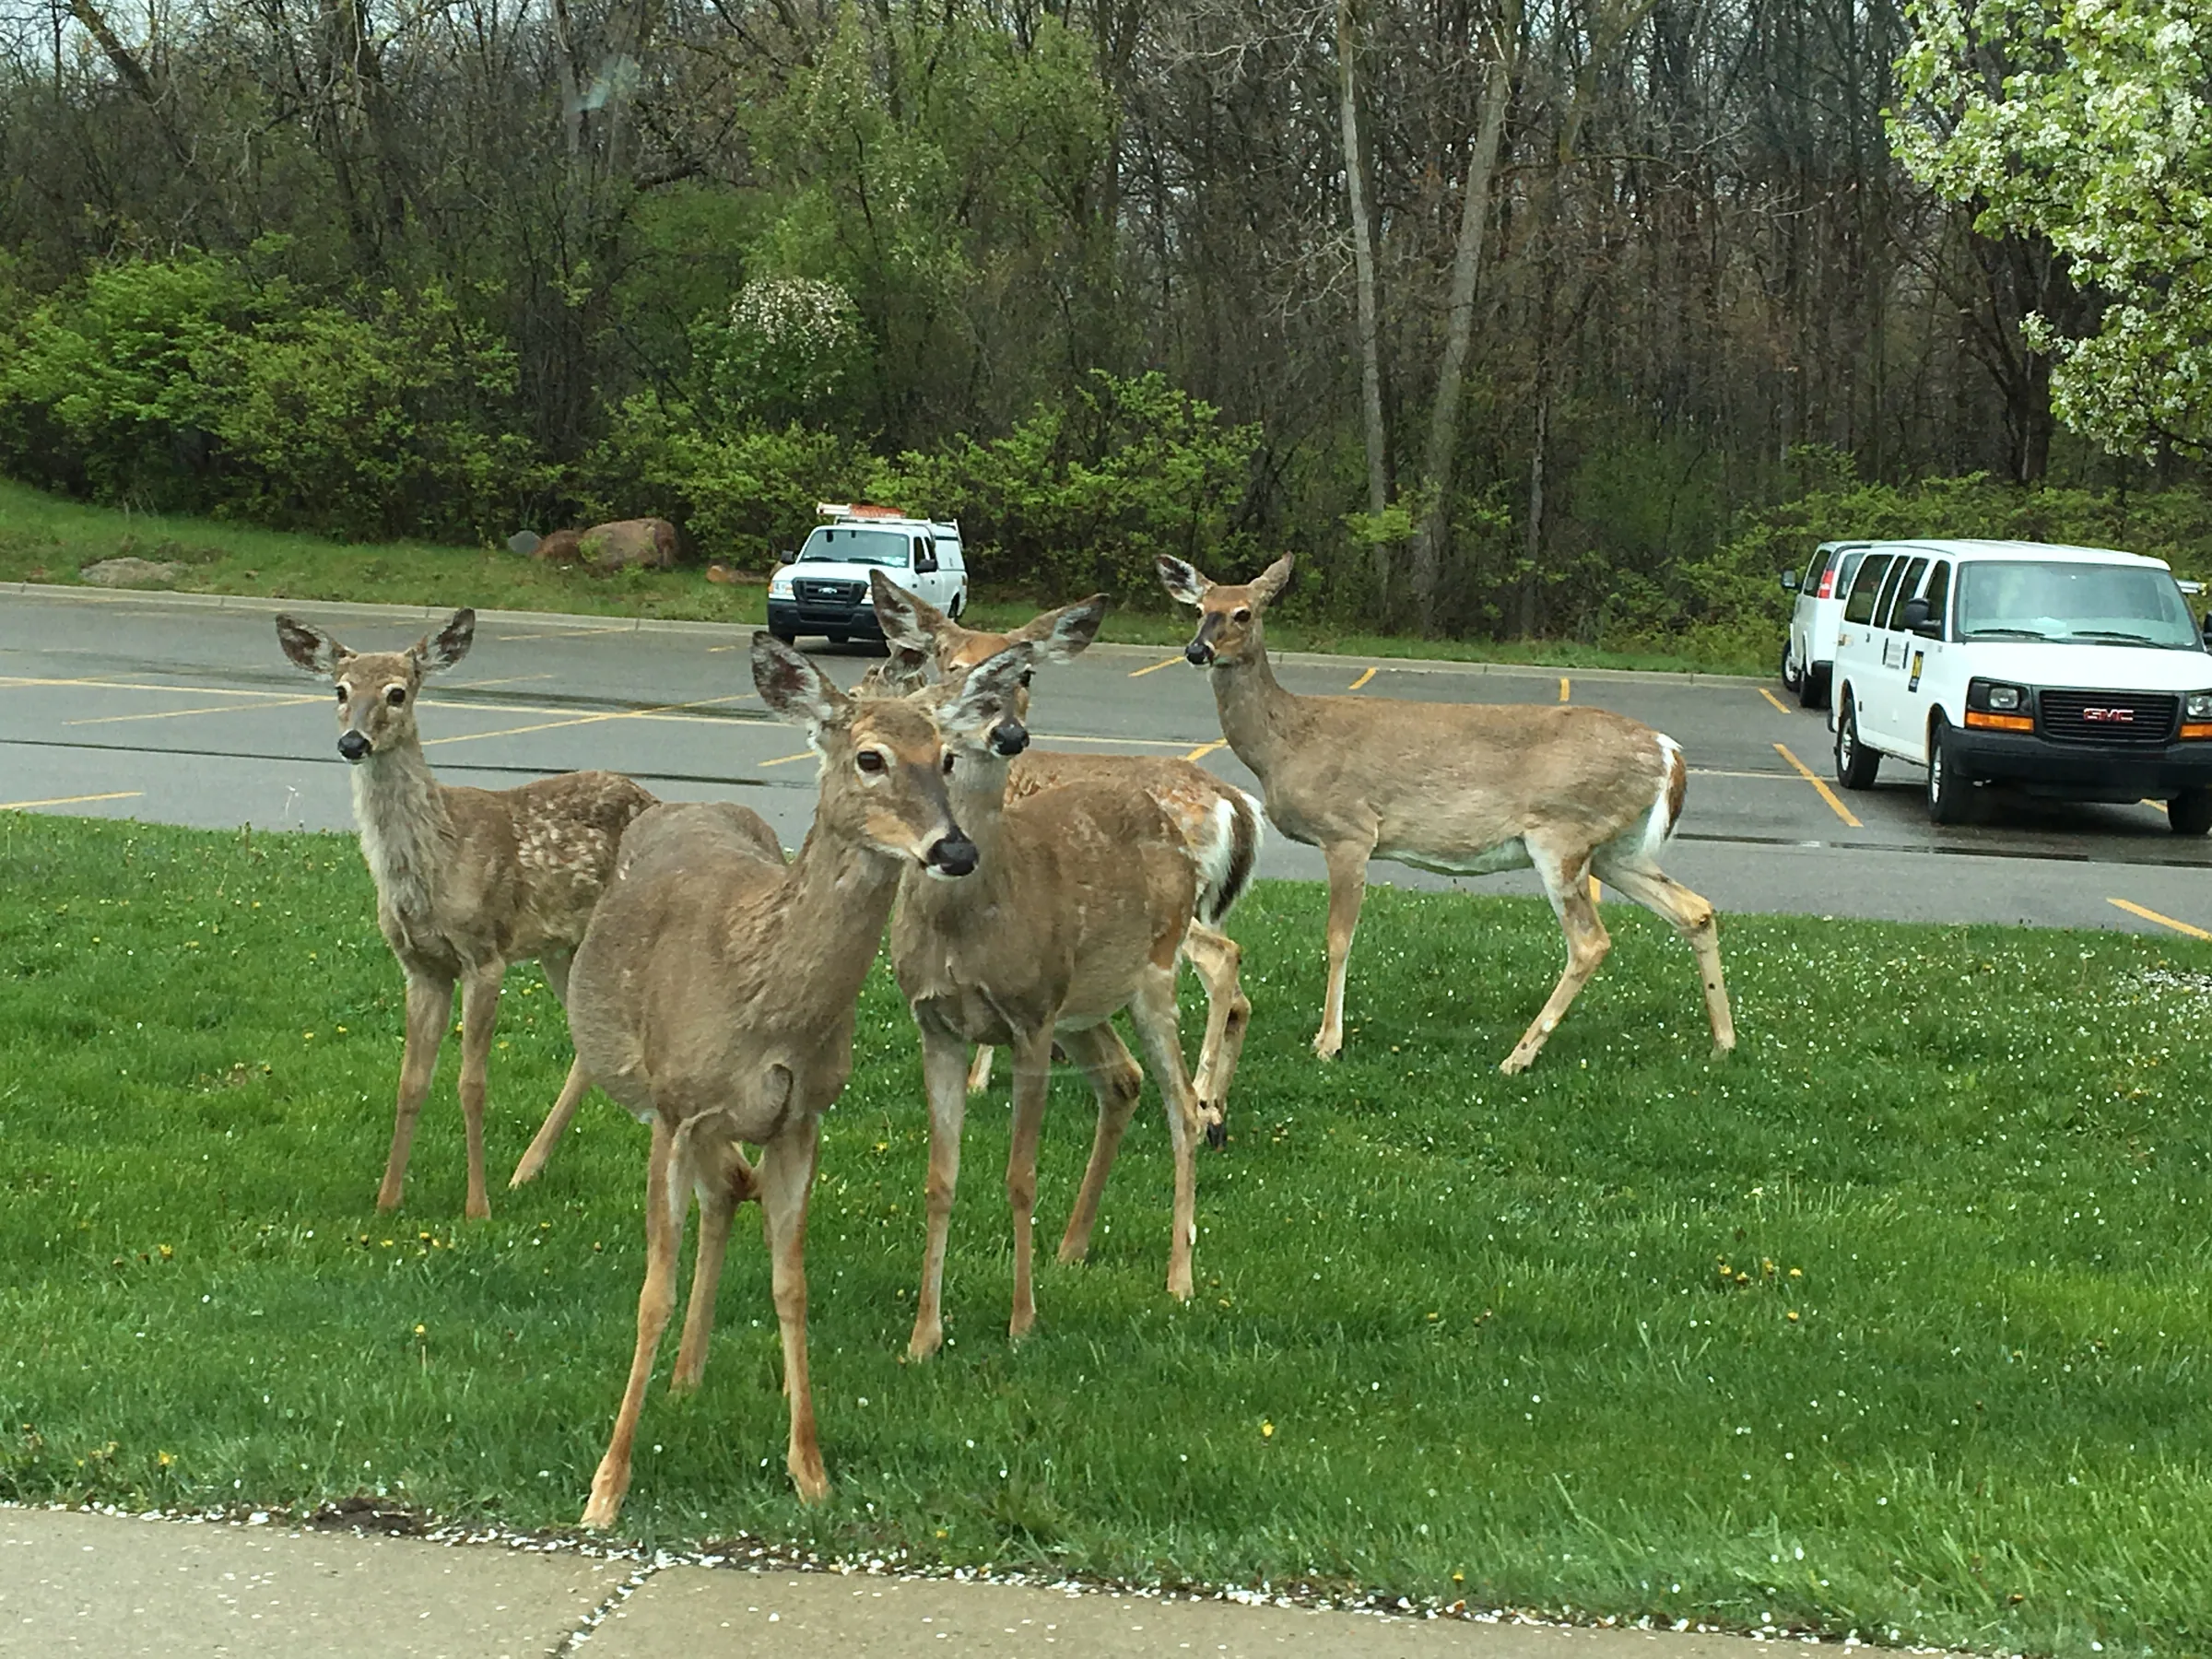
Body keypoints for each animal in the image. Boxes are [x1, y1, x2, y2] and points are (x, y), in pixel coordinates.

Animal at [275, 609, 655, 1220]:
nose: (353, 742)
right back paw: (527, 1170)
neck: (436, 862)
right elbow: (410, 1082)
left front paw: (477, 1206)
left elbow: (472, 1084)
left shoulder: (485, 954)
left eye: (398, 692)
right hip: (563, 948)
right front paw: (387, 1200)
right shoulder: (421, 966)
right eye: (340, 690)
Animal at [561, 634, 996, 1525]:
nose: (955, 850)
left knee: (727, 1192)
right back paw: (677, 1381)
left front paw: (812, 1472)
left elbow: (791, 1284)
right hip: (667, 1101)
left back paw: (690, 1377)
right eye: (869, 757)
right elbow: (651, 1292)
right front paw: (606, 1487)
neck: (757, 997)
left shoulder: (802, 1115)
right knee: (715, 1196)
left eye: (945, 755)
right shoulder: (674, 1106)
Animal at [867, 574, 1261, 1144]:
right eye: (954, 668)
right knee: (1238, 996)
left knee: (1222, 960)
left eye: (1025, 672)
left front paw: (979, 1079)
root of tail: (1235, 802)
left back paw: (1206, 1104)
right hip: (1203, 908)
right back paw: (1217, 1114)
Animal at [881, 600, 1211, 1359]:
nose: (1007, 733)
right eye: (950, 662)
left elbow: (1020, 1175)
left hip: (1152, 972)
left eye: (1025, 670)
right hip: (1081, 1006)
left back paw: (1179, 1277)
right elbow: (939, 1180)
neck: (964, 924)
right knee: (1123, 1081)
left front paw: (1022, 1322)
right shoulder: (935, 1023)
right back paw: (1072, 1246)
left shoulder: (1030, 1019)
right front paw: (923, 1336)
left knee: (1183, 1105)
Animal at [1158, 554, 1735, 1074]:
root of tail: (1668, 752)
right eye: (1200, 609)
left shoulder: (1349, 831)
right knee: (1695, 910)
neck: (1285, 743)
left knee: (1591, 942)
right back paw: (1723, 1044)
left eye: (1243, 612)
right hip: (1617, 849)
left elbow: (1338, 939)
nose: (1197, 650)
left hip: (1562, 836)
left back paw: (1517, 1057)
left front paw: (1329, 1042)